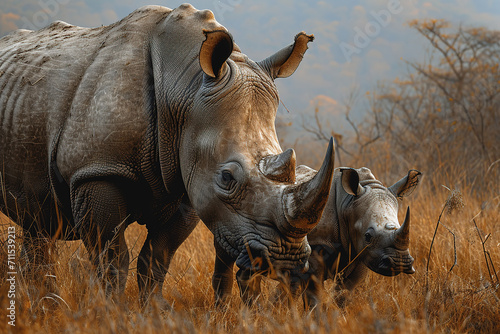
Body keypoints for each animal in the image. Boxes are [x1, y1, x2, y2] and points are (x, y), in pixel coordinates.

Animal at [1, 3, 336, 306]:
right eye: (227, 178)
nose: (285, 258)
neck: (185, 87)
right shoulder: (97, 170)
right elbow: (112, 257)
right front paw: (111, 309)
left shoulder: (184, 183)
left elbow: (157, 257)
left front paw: (155, 310)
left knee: (37, 221)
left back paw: (40, 300)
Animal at [213, 167, 420, 308]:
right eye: (368, 236)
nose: (399, 263)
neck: (348, 204)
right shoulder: (317, 250)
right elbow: (314, 295)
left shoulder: (363, 254)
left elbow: (344, 294)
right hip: (229, 213)